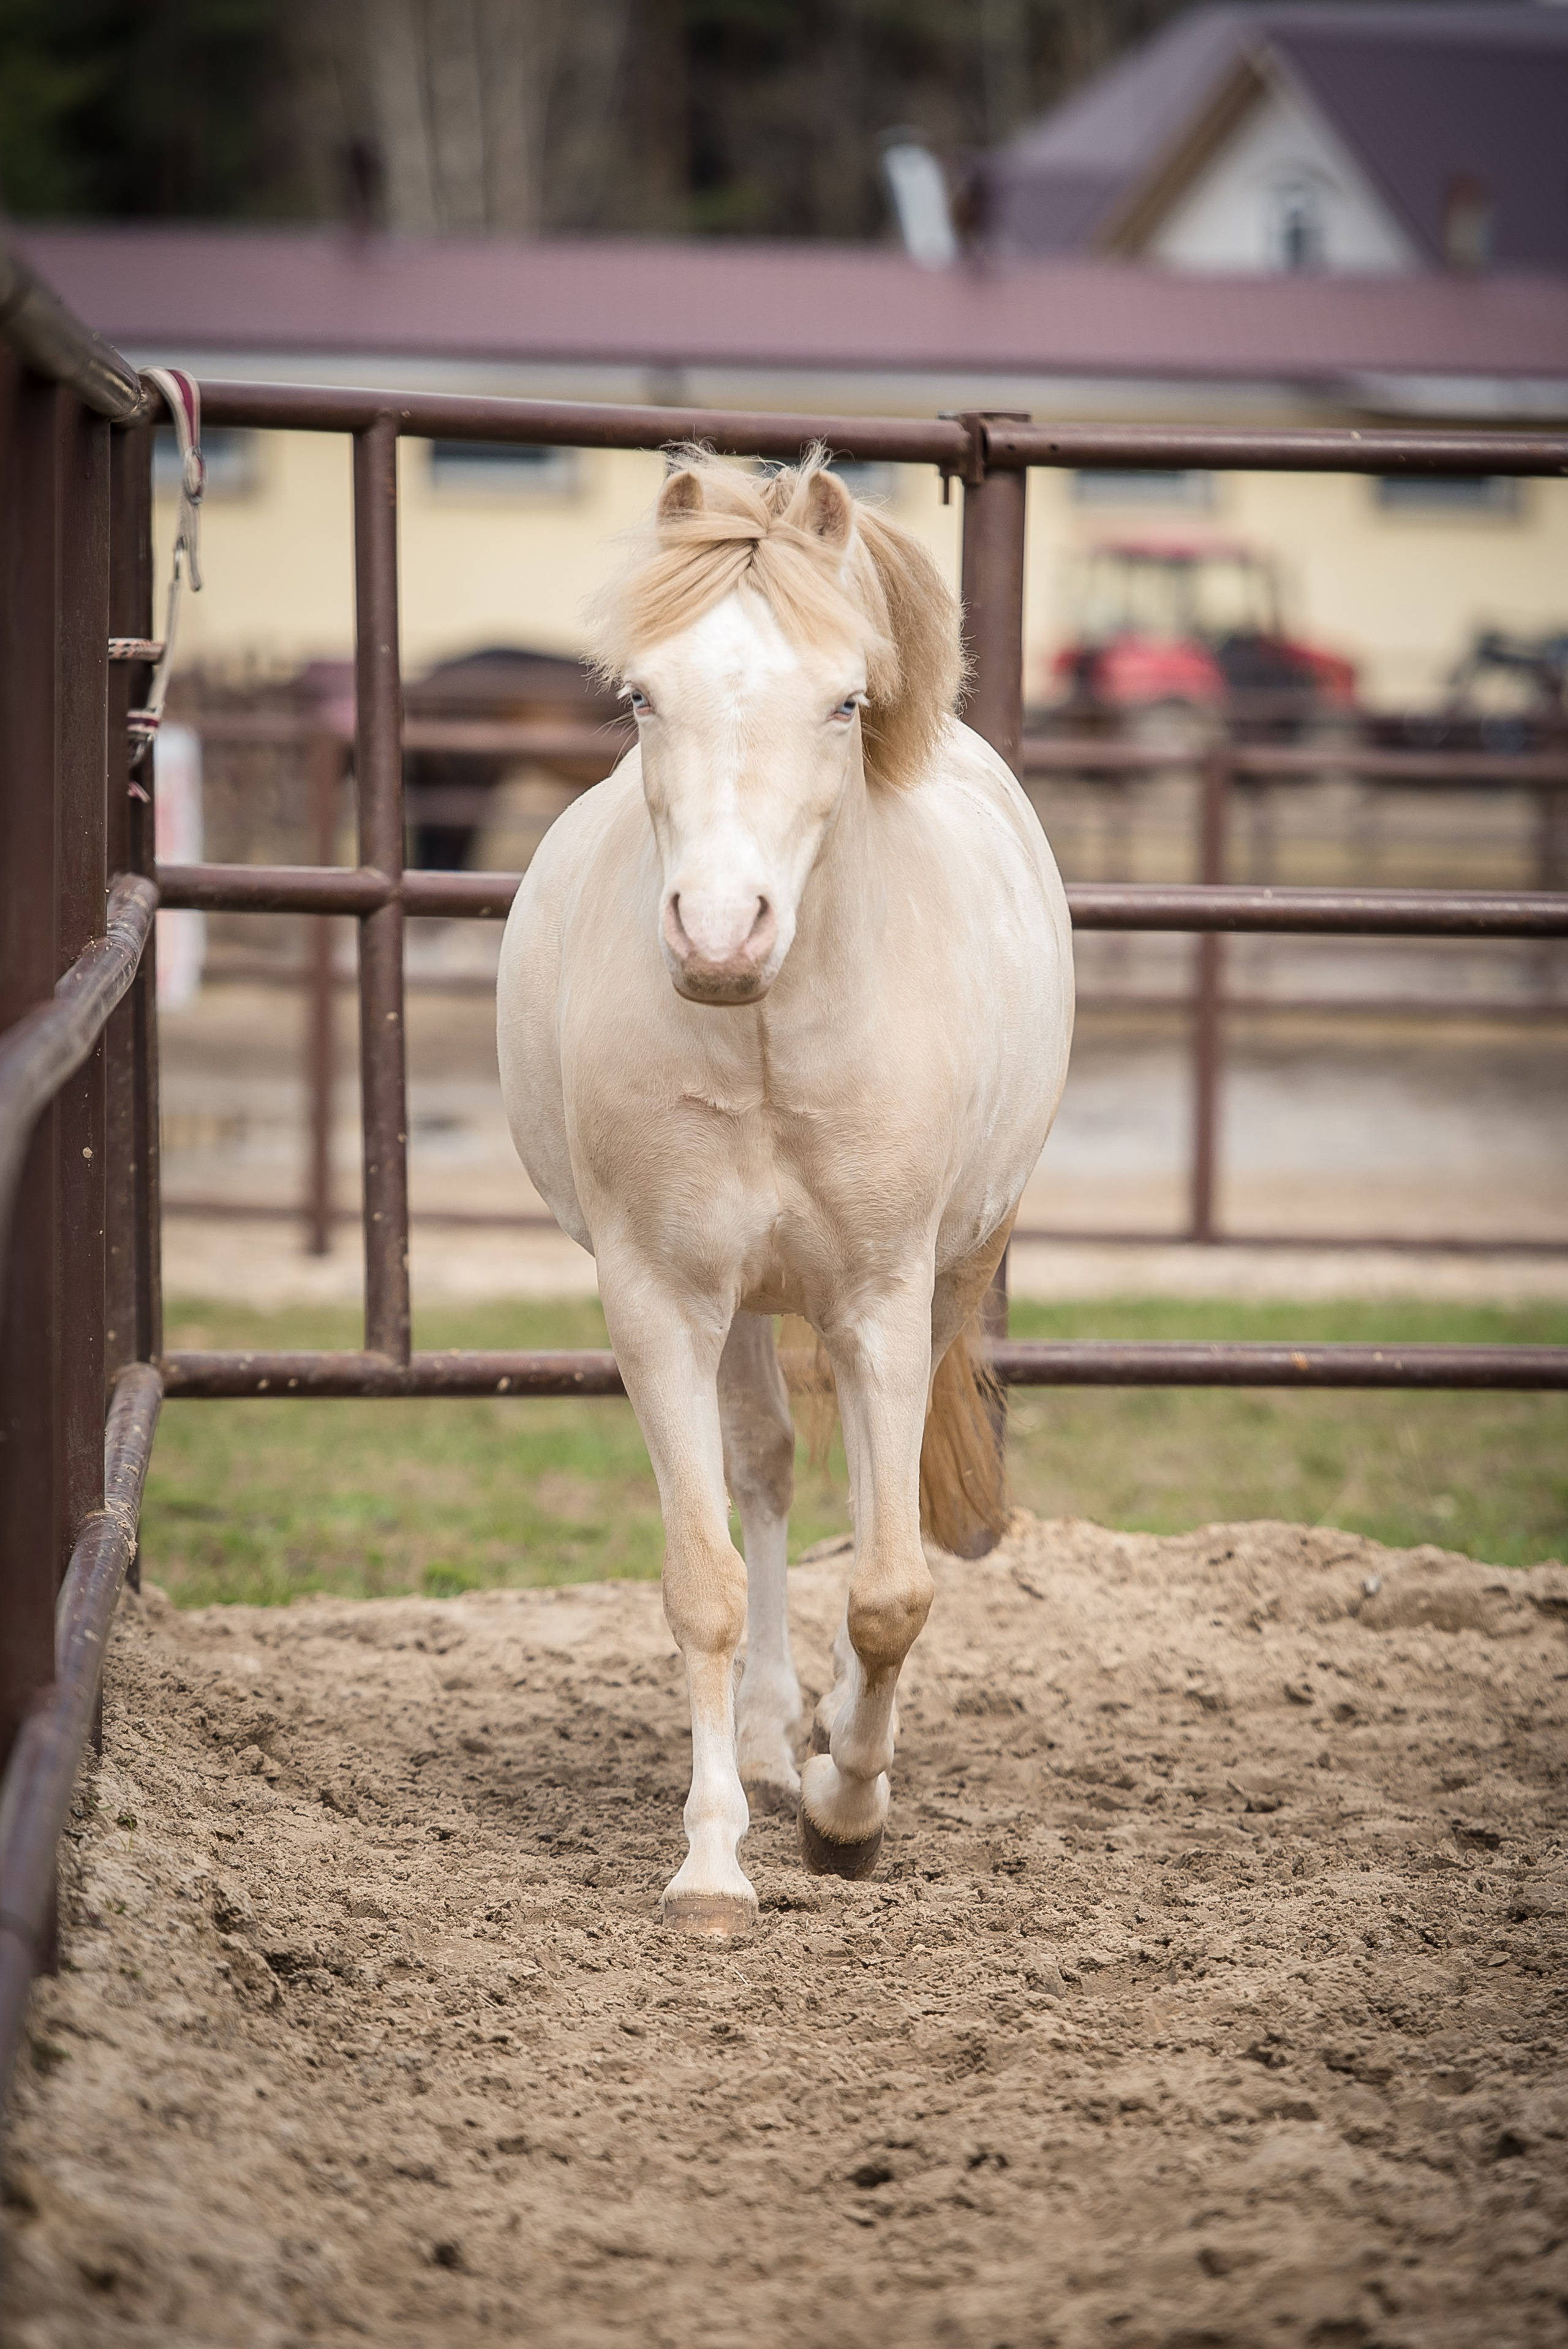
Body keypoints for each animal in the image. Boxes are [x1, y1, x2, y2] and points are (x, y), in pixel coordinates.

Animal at [497, 448, 1074, 1936]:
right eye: (643, 696)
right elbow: (702, 1577)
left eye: (845, 701)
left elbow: (889, 1590)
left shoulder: (880, 1299)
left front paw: (846, 1809)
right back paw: (765, 1734)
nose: (718, 933)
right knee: (760, 1468)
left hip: (944, 1278)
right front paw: (714, 1857)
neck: (764, 1032)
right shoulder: (657, 1303)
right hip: (742, 1299)